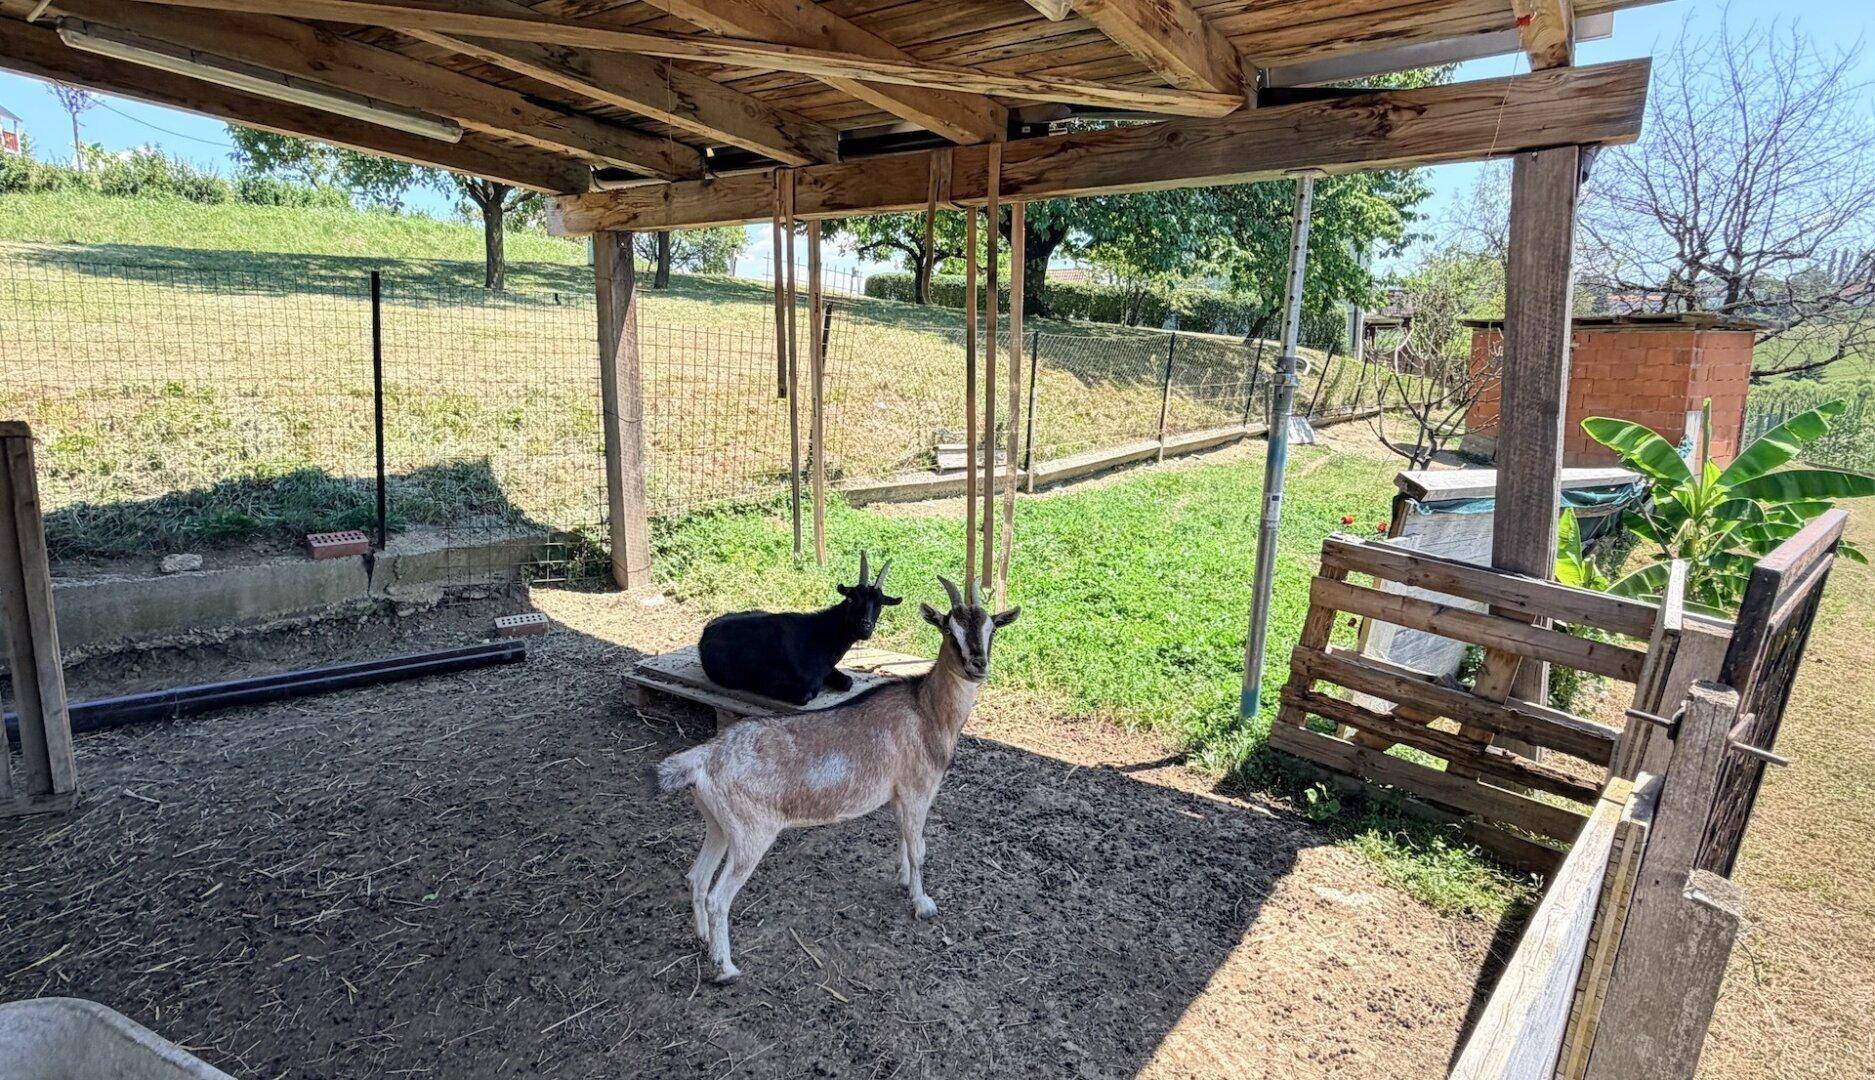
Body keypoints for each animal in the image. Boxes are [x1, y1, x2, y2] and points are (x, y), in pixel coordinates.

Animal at [651, 575, 1019, 983]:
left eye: (991, 629)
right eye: (950, 631)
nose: (977, 666)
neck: (926, 711)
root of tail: (703, 759)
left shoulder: (898, 793)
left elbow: (905, 839)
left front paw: (904, 880)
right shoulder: (918, 788)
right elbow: (920, 848)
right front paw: (923, 903)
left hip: (718, 825)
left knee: (696, 878)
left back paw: (702, 939)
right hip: (751, 834)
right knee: (718, 897)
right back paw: (726, 968)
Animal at [697, 552, 901, 706]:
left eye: (880, 604)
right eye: (851, 598)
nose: (865, 627)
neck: (817, 636)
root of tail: (706, 629)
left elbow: (847, 682)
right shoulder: (769, 681)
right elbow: (807, 694)